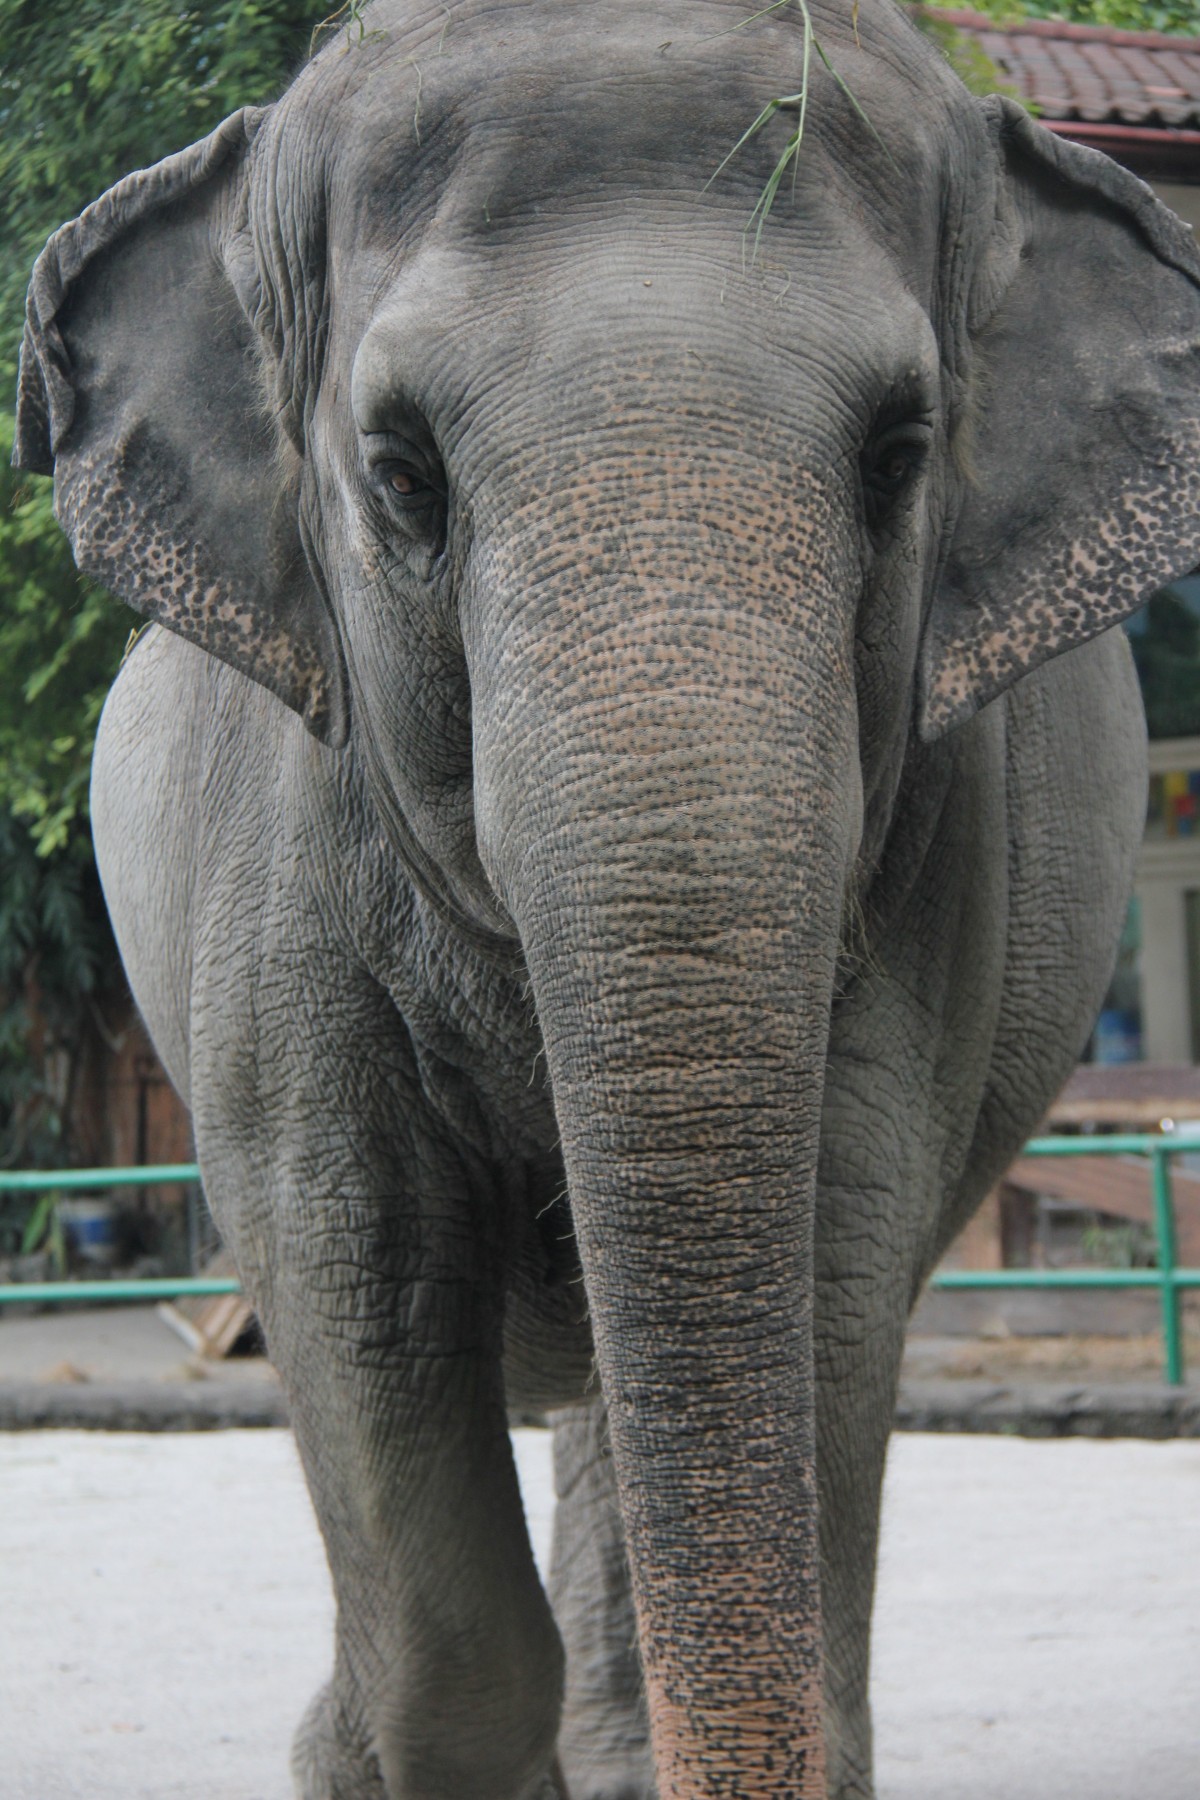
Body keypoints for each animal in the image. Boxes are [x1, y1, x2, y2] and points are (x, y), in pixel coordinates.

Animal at [11, 0, 1200, 1792]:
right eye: (402, 474)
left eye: (900, 455)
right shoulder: (278, 845)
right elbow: (358, 1270)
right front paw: (359, 1751)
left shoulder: (943, 854)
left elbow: (825, 1257)